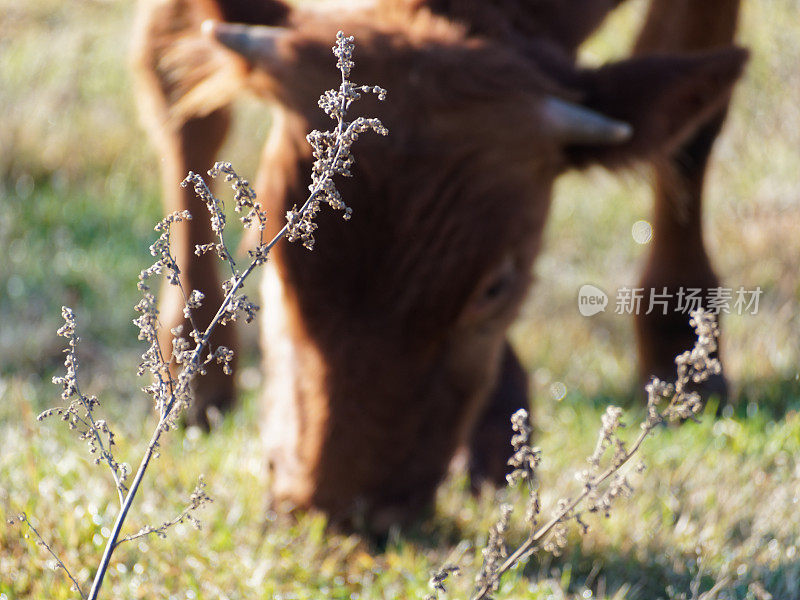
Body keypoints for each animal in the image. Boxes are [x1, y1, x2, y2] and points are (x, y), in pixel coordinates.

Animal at [134, 0, 748, 524]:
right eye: (275, 256)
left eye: (496, 288)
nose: (345, 508)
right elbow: (172, 71)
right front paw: (191, 352)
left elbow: (692, 134)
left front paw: (681, 339)